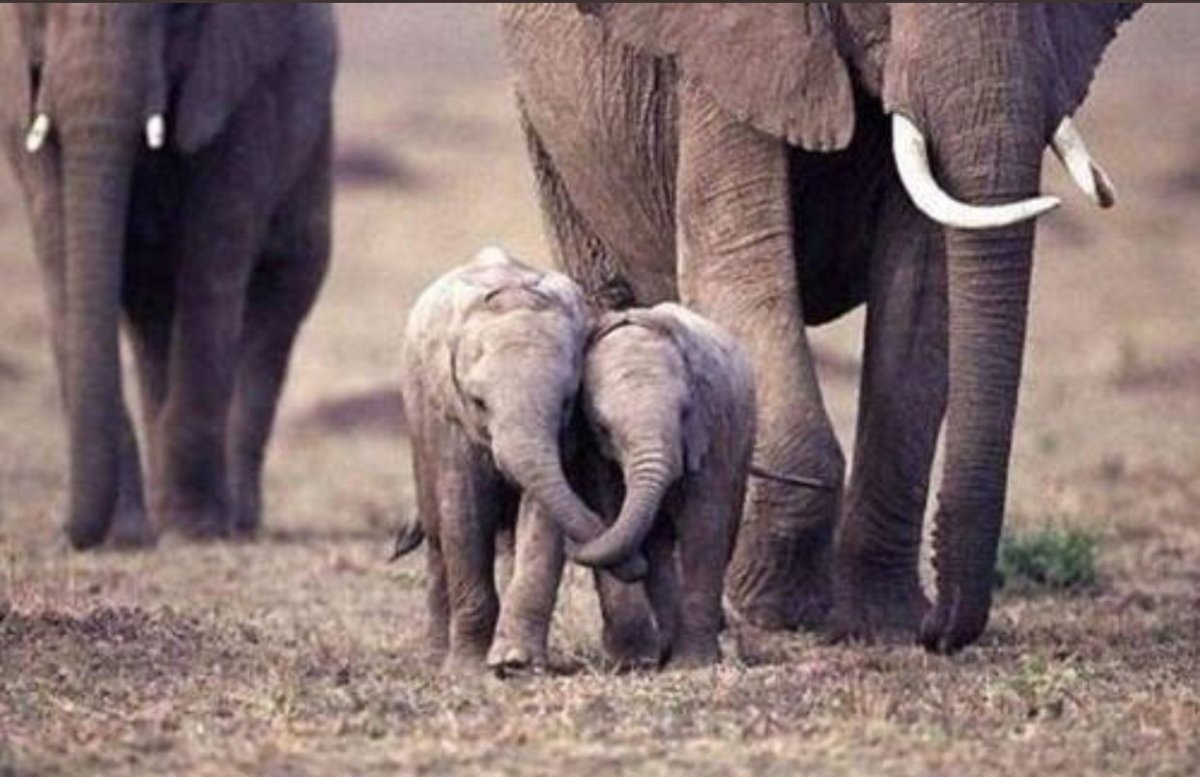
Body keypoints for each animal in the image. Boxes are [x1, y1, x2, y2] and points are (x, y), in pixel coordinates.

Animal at [0, 4, 337, 548]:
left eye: (177, 12)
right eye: (36, 12)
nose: (68, 533)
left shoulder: (242, 91)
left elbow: (210, 267)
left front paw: (193, 531)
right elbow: (63, 266)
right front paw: (125, 538)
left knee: (281, 297)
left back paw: (237, 521)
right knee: (152, 314)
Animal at [395, 248, 646, 672]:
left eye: (566, 401)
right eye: (478, 402)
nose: (638, 563)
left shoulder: (564, 436)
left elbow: (541, 518)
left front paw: (515, 663)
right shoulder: (448, 415)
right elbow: (463, 513)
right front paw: (467, 671)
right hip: (418, 421)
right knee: (436, 534)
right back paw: (435, 659)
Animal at [490, 303, 757, 672]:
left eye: (685, 412)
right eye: (603, 428)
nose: (574, 542)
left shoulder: (711, 429)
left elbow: (704, 525)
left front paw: (692, 665)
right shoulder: (596, 456)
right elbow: (617, 511)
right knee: (657, 541)